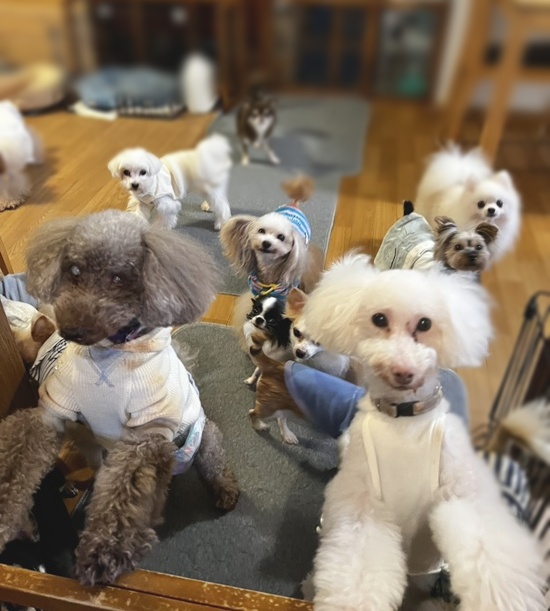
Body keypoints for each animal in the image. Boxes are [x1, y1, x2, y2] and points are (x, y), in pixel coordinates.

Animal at [0, 210, 239, 587]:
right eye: (74, 271)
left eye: (119, 278)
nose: (71, 330)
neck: (107, 356)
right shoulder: (52, 411)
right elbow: (18, 458)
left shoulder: (145, 434)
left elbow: (122, 497)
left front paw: (104, 552)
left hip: (204, 436)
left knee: (214, 463)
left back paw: (225, 491)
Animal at [302, 253, 545, 610]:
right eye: (378, 319)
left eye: (425, 324)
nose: (403, 371)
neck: (404, 419)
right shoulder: (362, 505)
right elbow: (358, 569)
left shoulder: (463, 493)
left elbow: (489, 558)